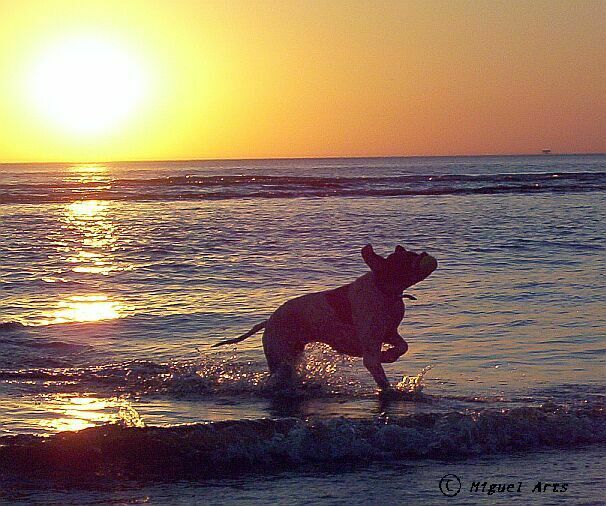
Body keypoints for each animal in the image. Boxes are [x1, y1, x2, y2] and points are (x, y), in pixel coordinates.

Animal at [213, 247, 436, 394]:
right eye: (406, 259)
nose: (425, 254)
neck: (384, 289)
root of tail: (269, 321)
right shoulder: (371, 347)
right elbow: (380, 374)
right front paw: (388, 382)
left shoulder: (388, 333)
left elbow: (403, 346)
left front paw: (389, 355)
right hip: (282, 358)